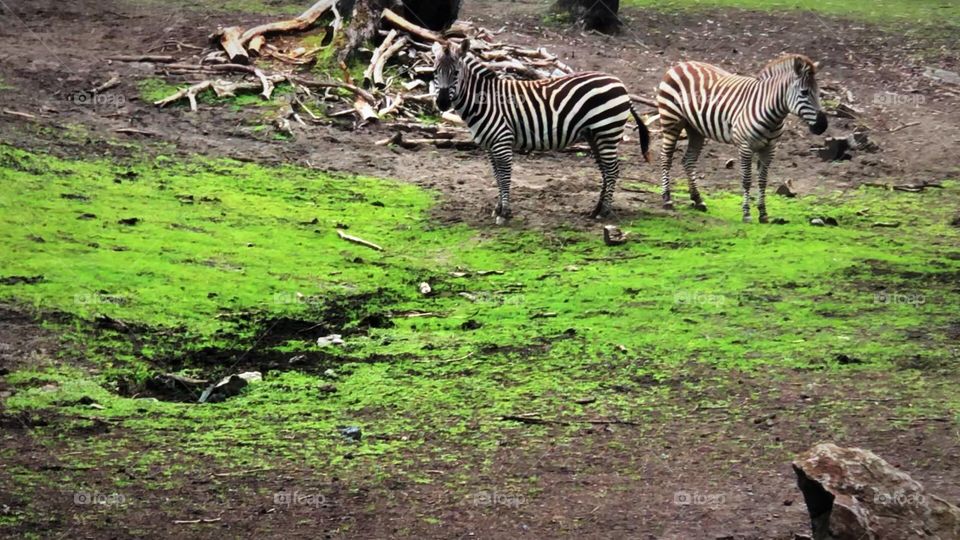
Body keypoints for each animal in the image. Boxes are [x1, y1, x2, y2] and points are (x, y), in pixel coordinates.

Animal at [432, 39, 651, 224]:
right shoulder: (489, 145)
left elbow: (504, 175)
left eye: (456, 73)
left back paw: (604, 212)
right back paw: (596, 209)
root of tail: (620, 84)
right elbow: (497, 175)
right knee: (606, 170)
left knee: (612, 170)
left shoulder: (502, 140)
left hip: (607, 131)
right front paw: (498, 208)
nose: (441, 103)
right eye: (435, 72)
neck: (485, 101)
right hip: (594, 135)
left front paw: (505, 213)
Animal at [657, 54, 828, 223]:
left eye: (819, 92)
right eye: (804, 92)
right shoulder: (745, 146)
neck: (771, 111)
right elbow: (746, 180)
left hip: (695, 129)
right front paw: (746, 213)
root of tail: (680, 64)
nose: (823, 126)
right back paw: (667, 199)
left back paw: (698, 200)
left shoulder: (770, 148)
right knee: (666, 158)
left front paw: (763, 214)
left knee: (688, 161)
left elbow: (762, 181)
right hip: (671, 120)